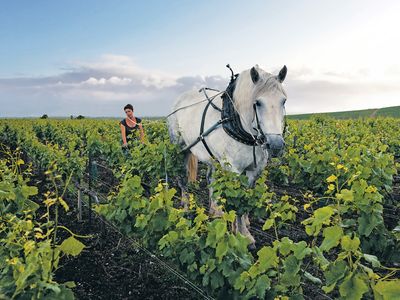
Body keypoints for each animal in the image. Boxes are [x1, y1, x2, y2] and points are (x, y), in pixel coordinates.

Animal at [168, 64, 288, 245]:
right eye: (258, 103)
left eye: (283, 101)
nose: (275, 145)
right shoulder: (233, 170)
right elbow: (238, 202)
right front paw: (243, 236)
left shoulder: (254, 169)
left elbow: (247, 197)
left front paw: (244, 223)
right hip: (181, 148)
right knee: (182, 178)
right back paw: (186, 208)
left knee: (210, 178)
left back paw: (215, 210)